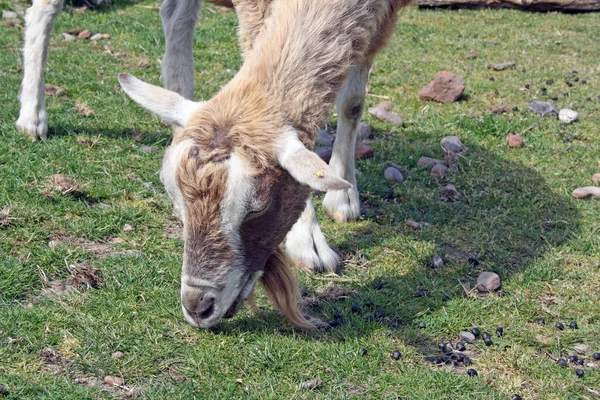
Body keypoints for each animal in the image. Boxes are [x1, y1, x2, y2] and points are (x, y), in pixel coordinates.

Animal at [118, 0, 408, 328]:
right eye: (176, 202)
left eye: (257, 208)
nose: (197, 306)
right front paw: (308, 241)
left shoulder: (383, 12)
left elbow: (353, 104)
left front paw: (343, 198)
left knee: (174, 15)